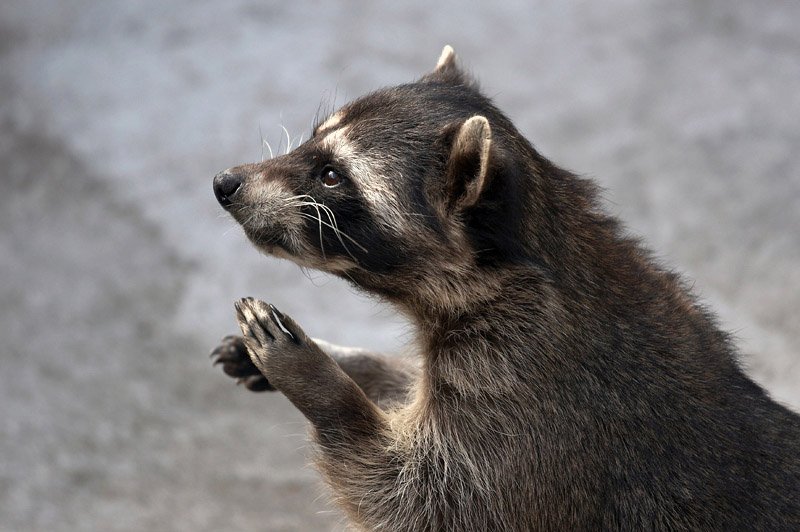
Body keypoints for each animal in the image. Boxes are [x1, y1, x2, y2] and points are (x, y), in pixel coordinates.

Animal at [211, 47, 800, 528]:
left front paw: (319, 381)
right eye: (314, 140)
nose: (224, 183)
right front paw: (352, 362)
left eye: (332, 175)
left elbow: (419, 498)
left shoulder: (530, 404)